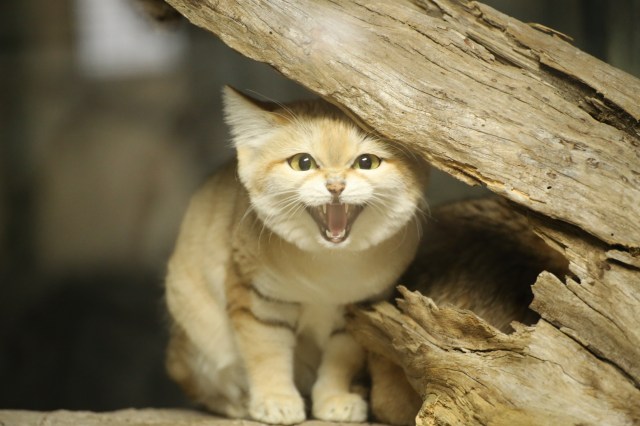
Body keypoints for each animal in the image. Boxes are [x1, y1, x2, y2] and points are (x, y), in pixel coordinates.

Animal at [164, 85, 430, 422]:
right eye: (303, 162)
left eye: (367, 162)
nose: (335, 186)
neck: (329, 263)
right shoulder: (258, 298)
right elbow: (266, 351)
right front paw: (275, 399)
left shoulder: (359, 312)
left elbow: (341, 358)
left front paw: (334, 398)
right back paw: (237, 402)